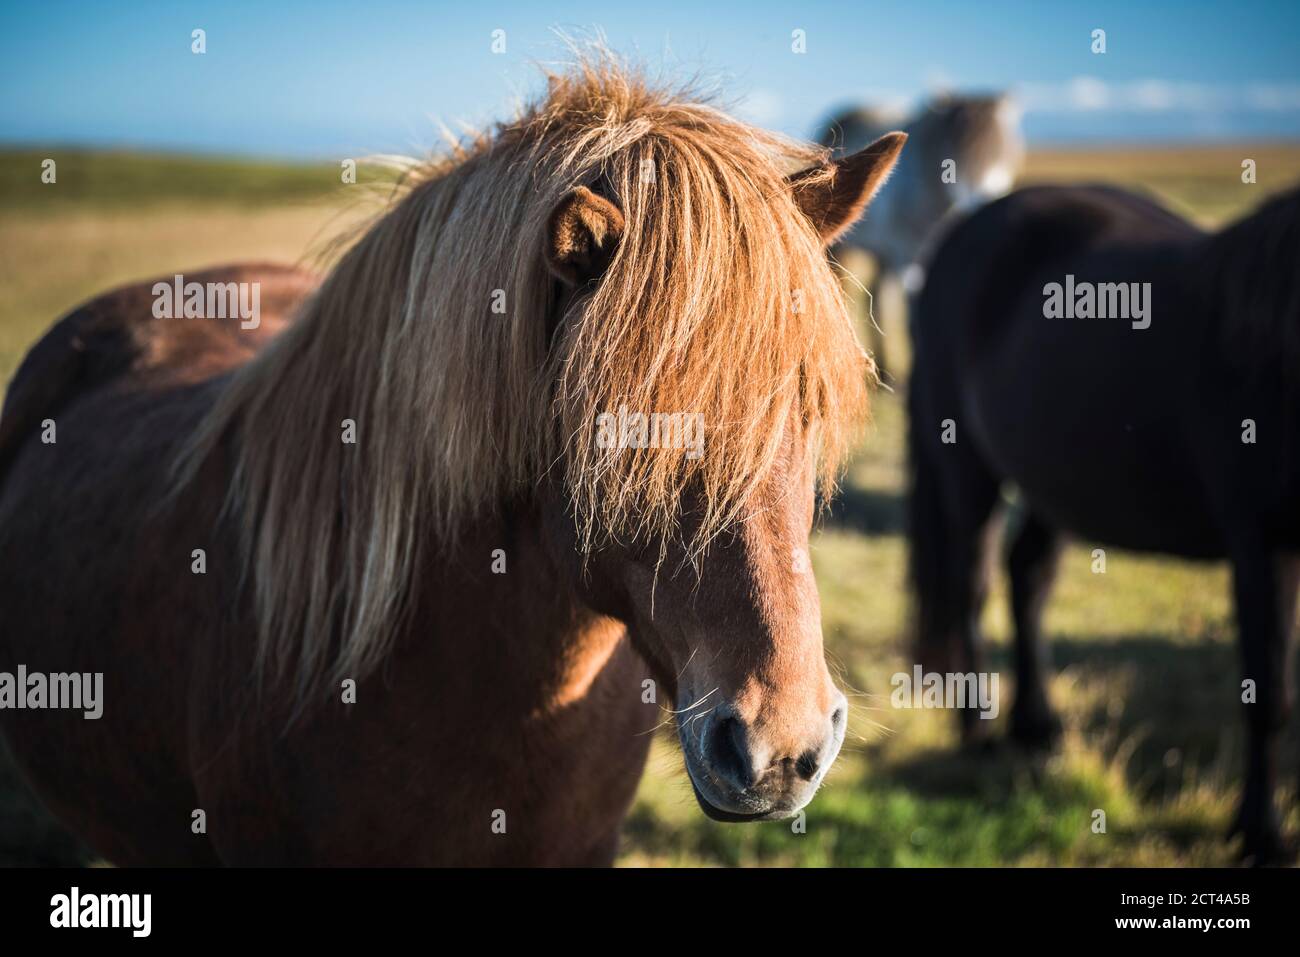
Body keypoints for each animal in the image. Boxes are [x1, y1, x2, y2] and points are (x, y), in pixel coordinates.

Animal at [819, 93, 1023, 378]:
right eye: (957, 150)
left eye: (1001, 151)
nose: (980, 209)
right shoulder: (908, 260)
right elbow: (912, 321)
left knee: (879, 299)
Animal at [908, 182, 1300, 863]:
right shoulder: (1263, 544)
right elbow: (1268, 693)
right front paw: (1261, 836)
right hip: (967, 466)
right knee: (972, 583)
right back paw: (977, 730)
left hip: (1050, 477)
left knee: (1027, 576)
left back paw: (1038, 727)